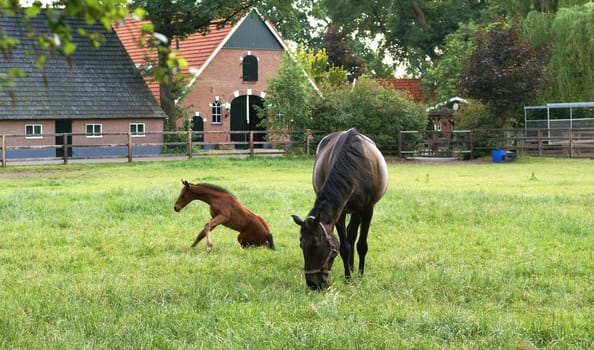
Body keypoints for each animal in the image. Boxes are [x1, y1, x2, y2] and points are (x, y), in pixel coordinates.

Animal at [292, 129, 388, 290]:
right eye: (301, 244)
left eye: (315, 243)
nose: (313, 284)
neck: (355, 165)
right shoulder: (340, 213)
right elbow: (344, 247)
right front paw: (348, 277)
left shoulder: (368, 210)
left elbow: (361, 245)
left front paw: (360, 275)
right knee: (350, 235)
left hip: (358, 211)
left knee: (353, 234)